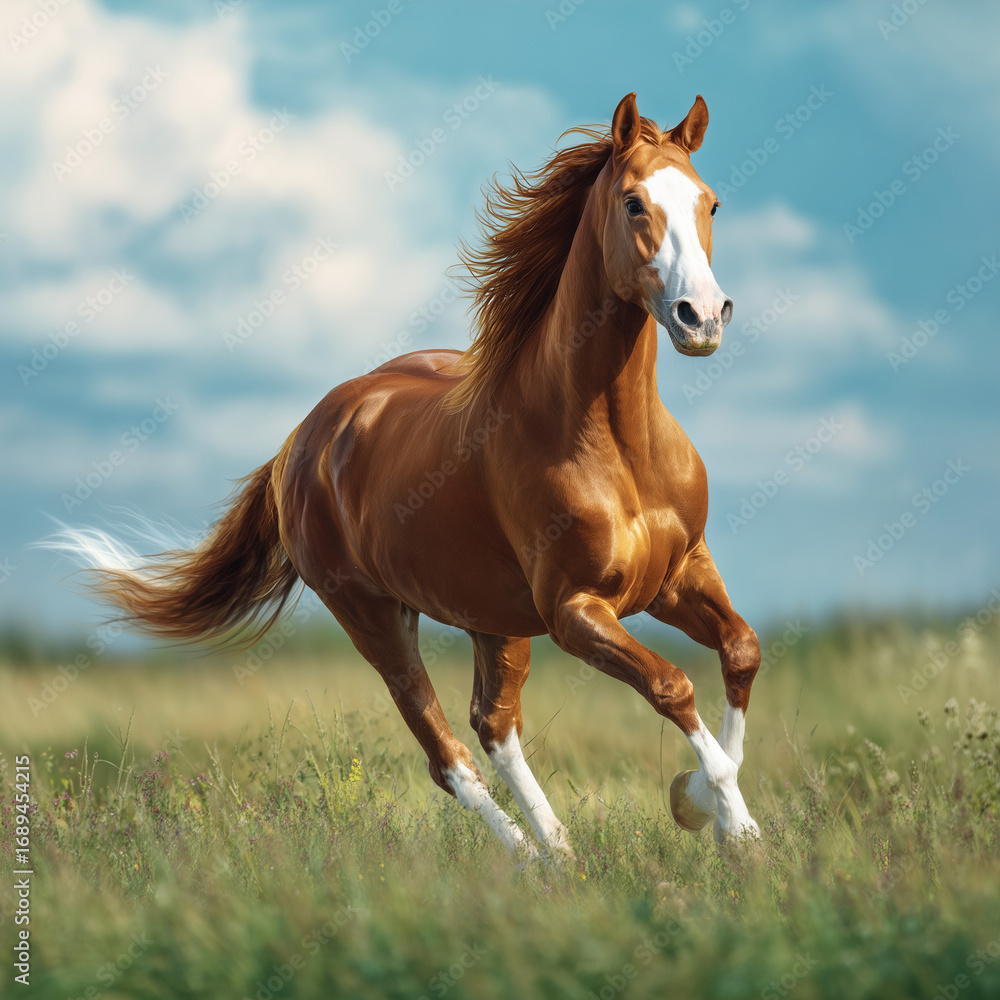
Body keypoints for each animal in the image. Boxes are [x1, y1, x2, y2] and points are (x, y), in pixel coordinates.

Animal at [52, 92, 761, 854]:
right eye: (633, 203)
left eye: (711, 203)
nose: (702, 317)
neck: (617, 448)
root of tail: (302, 440)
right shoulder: (576, 611)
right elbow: (672, 685)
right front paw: (728, 823)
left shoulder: (680, 574)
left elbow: (741, 651)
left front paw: (709, 812)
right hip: (374, 617)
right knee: (445, 750)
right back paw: (535, 858)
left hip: (491, 617)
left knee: (493, 725)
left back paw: (558, 850)